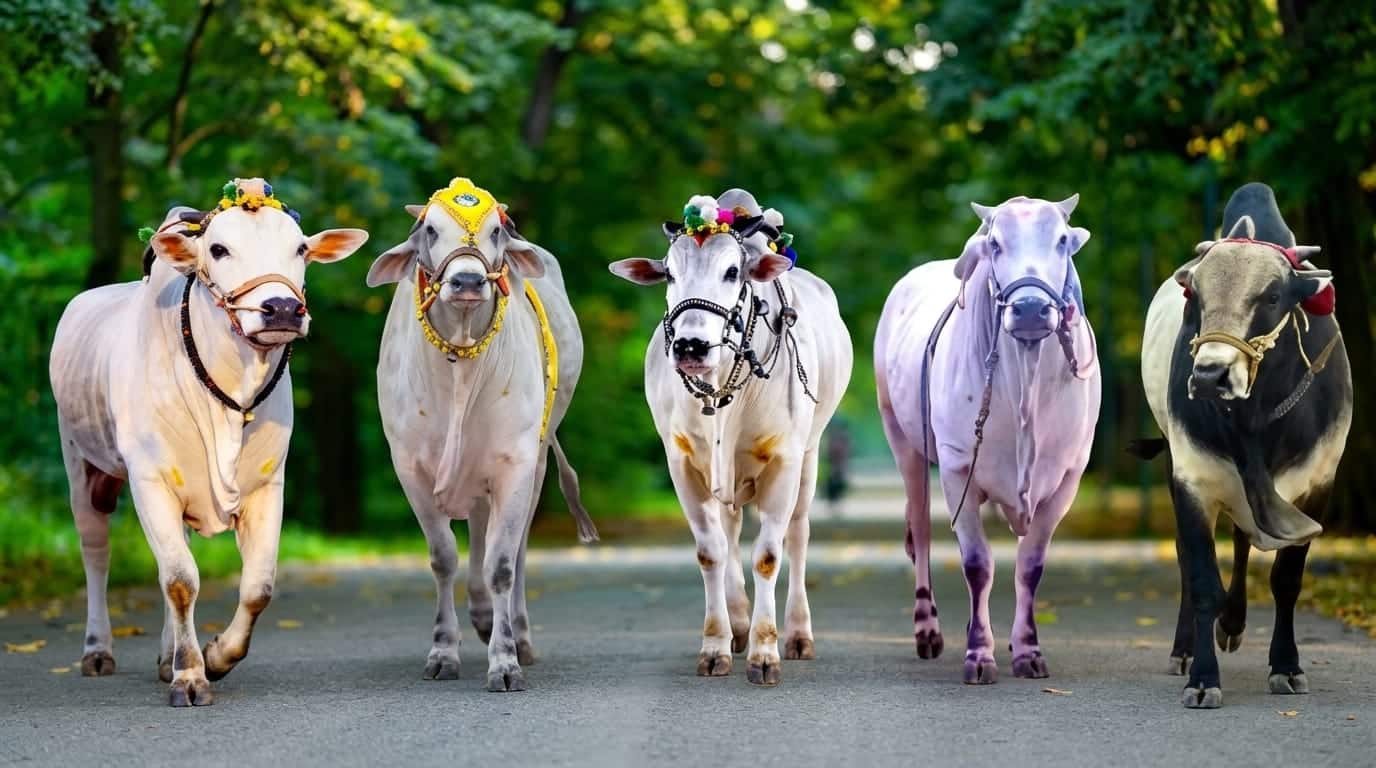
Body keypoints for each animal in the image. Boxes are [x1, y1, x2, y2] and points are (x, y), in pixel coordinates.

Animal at [49, 178, 368, 706]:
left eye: (300, 248)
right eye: (218, 249)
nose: (282, 309)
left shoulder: (266, 487)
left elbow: (257, 587)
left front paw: (214, 657)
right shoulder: (150, 480)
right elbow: (180, 580)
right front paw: (190, 677)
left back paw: (167, 656)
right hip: (81, 465)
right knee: (96, 552)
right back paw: (98, 650)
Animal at [366, 177, 597, 693]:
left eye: (495, 231)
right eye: (431, 229)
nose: (468, 282)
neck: (461, 361)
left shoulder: (514, 465)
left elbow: (502, 564)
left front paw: (505, 660)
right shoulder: (410, 469)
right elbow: (443, 558)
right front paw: (442, 652)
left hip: (535, 465)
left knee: (514, 547)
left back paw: (515, 632)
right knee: (474, 533)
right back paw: (482, 616)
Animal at [609, 189, 853, 686]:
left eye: (732, 272)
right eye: (669, 272)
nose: (690, 346)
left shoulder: (784, 460)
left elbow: (768, 555)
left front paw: (765, 653)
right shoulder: (681, 462)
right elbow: (711, 552)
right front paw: (716, 646)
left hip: (811, 456)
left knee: (797, 535)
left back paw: (797, 634)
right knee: (731, 531)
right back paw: (739, 625)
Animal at [875, 195, 1101, 684]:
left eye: (1062, 241)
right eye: (995, 244)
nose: (1031, 309)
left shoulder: (1067, 478)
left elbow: (1030, 567)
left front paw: (1028, 649)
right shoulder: (958, 468)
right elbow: (977, 564)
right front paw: (979, 655)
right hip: (903, 441)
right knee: (921, 532)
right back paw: (928, 630)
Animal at [1140, 181, 1350, 708]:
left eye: (1273, 295)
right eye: (1195, 295)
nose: (1210, 375)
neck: (1257, 417)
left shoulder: (1318, 482)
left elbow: (1286, 580)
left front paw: (1287, 667)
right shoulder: (1192, 478)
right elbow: (1200, 578)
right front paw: (1202, 678)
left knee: (1240, 540)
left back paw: (1233, 623)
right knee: (1190, 557)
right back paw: (1190, 645)